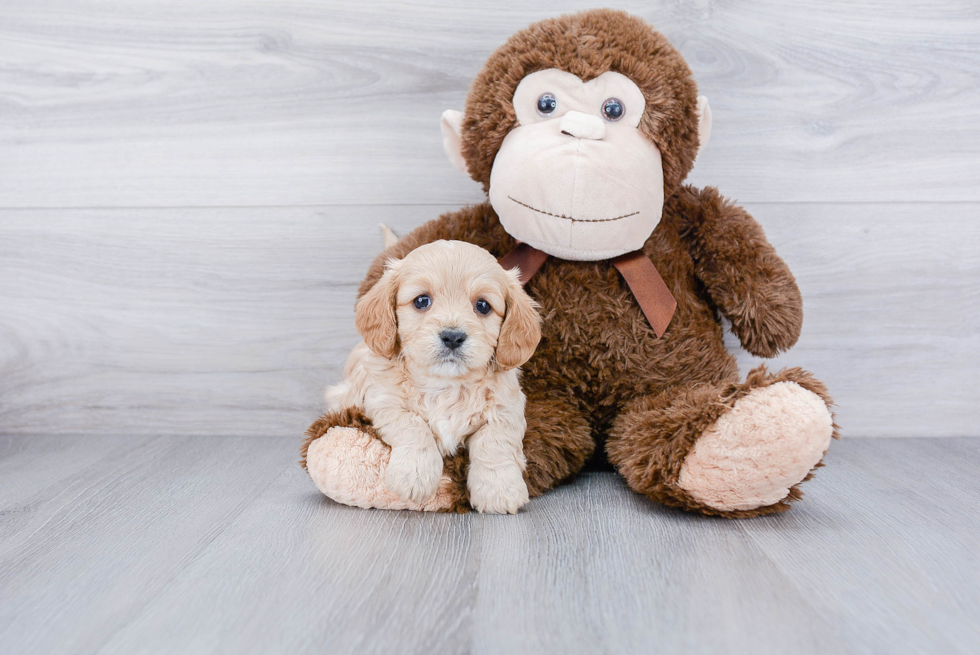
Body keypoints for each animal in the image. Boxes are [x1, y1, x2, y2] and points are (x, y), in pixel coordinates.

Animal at [330, 238, 544, 516]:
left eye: (483, 306)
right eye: (422, 301)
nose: (453, 336)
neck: (446, 385)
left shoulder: (507, 408)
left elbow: (495, 442)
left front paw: (499, 489)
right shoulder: (382, 400)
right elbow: (412, 424)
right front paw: (414, 475)